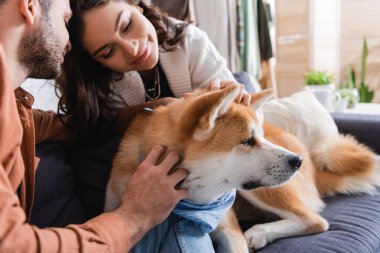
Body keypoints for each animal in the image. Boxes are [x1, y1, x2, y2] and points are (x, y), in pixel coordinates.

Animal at [104, 85, 380, 253]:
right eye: (248, 141)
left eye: (261, 136)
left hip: (261, 191)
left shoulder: (229, 227)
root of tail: (312, 165)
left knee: (315, 220)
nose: (297, 161)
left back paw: (260, 232)